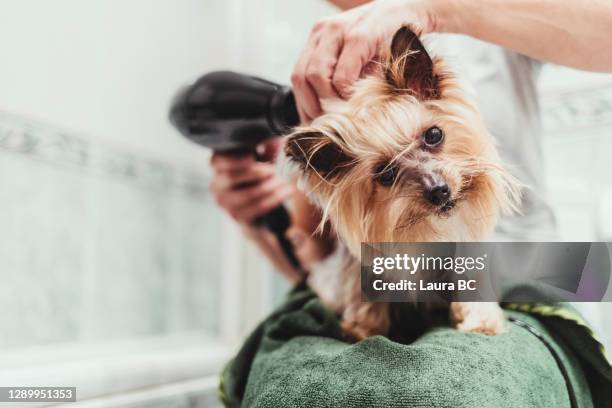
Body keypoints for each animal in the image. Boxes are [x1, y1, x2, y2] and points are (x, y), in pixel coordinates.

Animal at [284, 23, 520, 340]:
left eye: (434, 135)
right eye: (386, 174)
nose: (439, 190)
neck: (431, 232)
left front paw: (481, 321)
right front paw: (363, 328)